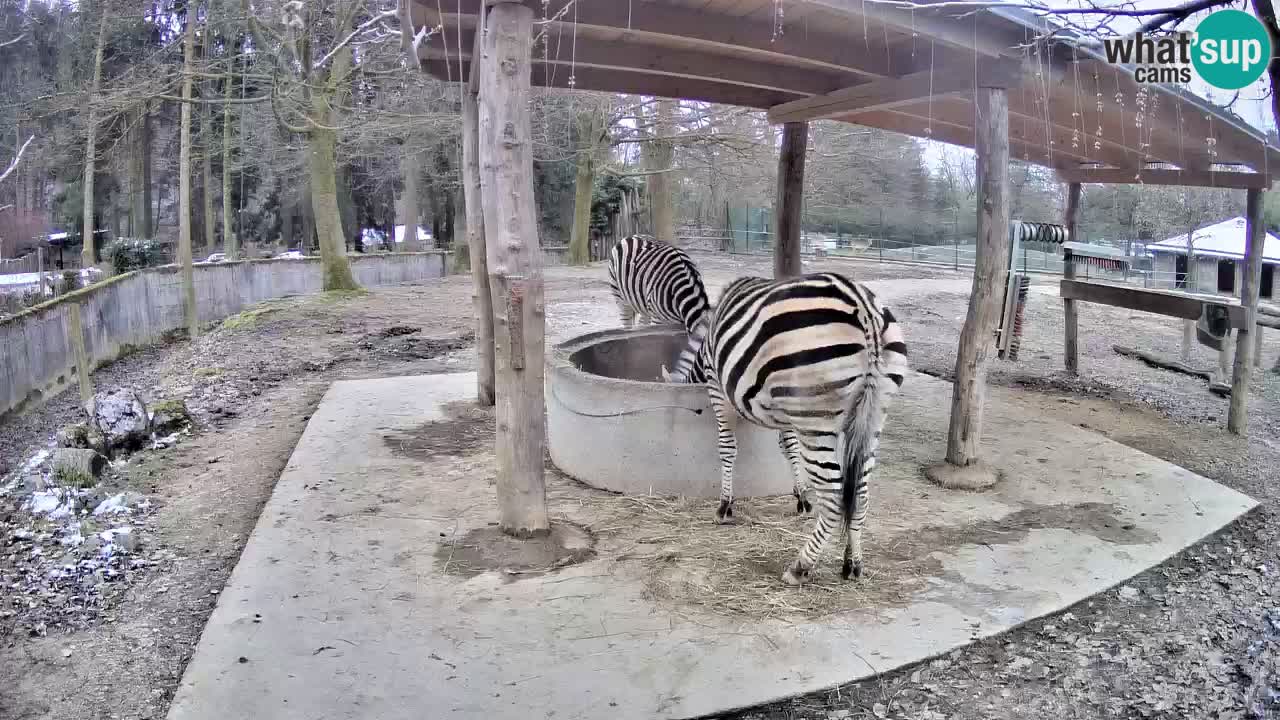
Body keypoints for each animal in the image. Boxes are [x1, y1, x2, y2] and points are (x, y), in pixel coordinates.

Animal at [606, 234, 716, 381]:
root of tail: (632, 236)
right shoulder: (659, 320)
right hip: (621, 297)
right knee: (627, 323)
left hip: (643, 304)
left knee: (642, 324)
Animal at [701, 270, 911, 584]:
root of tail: (864, 309)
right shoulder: (786, 407)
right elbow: (787, 447)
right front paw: (800, 497)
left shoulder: (717, 387)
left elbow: (727, 447)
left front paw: (724, 506)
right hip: (875, 413)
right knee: (860, 492)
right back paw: (853, 563)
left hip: (816, 418)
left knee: (834, 495)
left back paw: (800, 566)